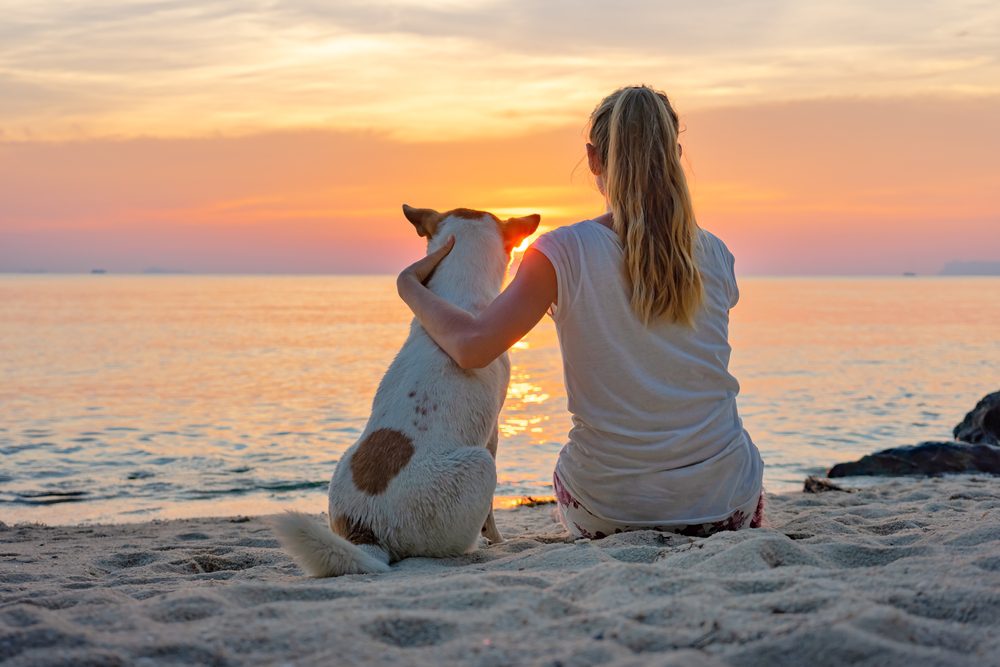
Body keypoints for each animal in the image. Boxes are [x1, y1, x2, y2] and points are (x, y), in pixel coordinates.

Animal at [272, 206, 540, 576]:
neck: (457, 297)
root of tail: (366, 530)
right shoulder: (493, 431)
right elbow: (490, 515)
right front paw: (498, 540)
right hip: (480, 464)